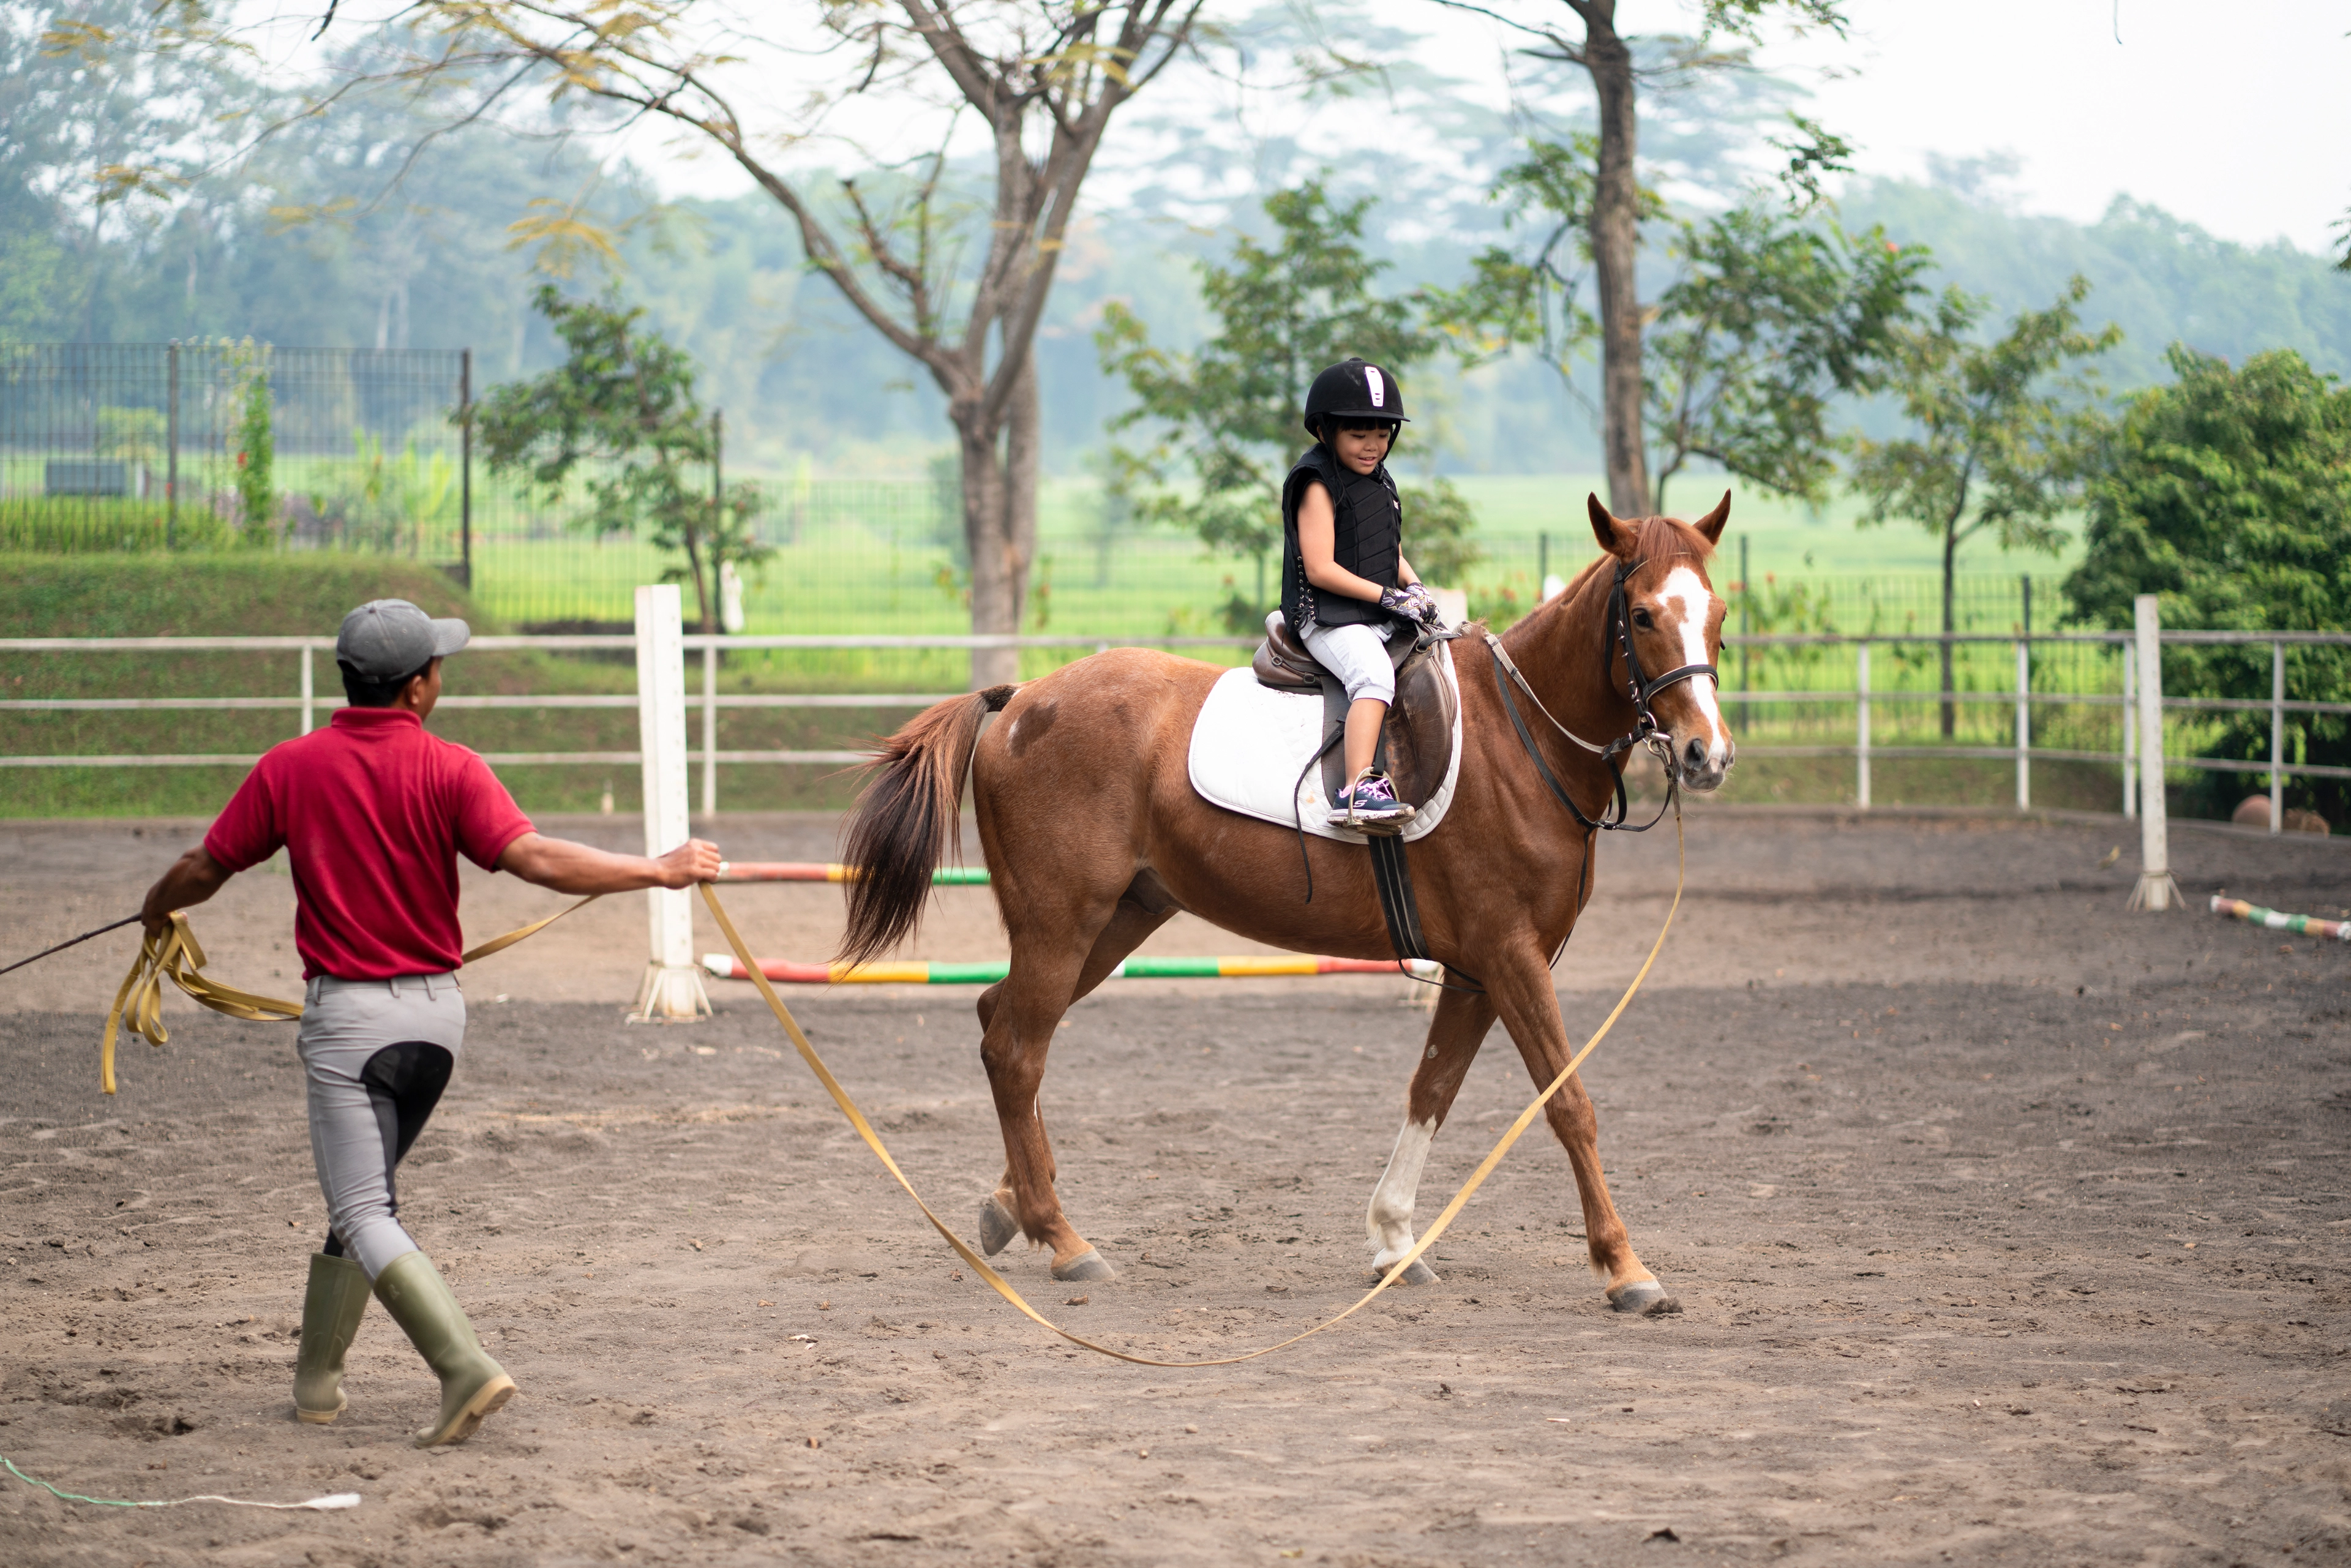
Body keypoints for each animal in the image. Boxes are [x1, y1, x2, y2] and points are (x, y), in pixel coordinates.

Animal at [835, 493, 1736, 1314]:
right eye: (1644, 615)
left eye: (1719, 616)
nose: (1708, 755)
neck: (1520, 742)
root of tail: (1021, 700)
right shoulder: (1512, 958)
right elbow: (1570, 1104)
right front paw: (1625, 1267)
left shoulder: (1479, 972)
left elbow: (1431, 1090)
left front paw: (1394, 1242)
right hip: (1061, 922)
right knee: (1017, 1050)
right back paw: (1063, 1239)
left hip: (1118, 920)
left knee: (1005, 1024)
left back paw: (1013, 1206)